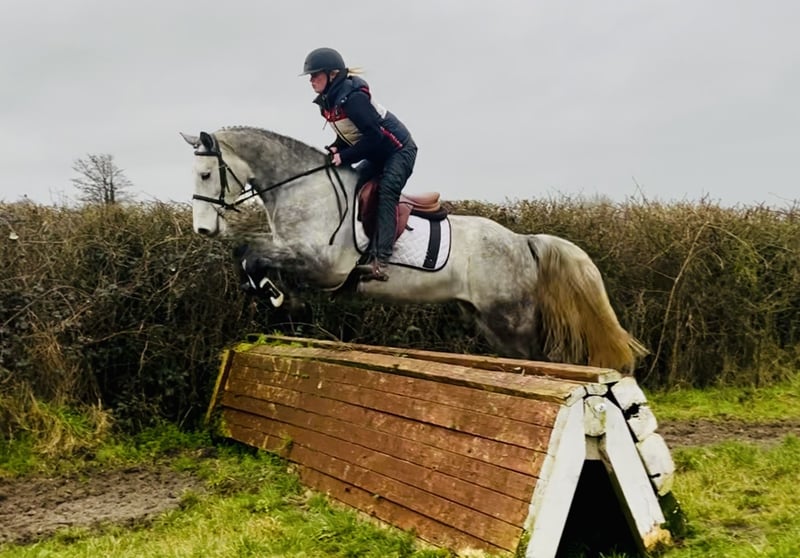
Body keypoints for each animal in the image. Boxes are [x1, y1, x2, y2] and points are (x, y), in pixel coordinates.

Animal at [181, 126, 648, 373]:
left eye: (205, 174)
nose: (203, 229)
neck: (304, 187)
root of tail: (521, 241)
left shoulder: (322, 264)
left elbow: (252, 253)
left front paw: (276, 296)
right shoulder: (293, 252)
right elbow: (247, 252)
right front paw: (279, 298)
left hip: (511, 318)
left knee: (539, 357)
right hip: (489, 321)